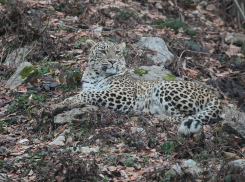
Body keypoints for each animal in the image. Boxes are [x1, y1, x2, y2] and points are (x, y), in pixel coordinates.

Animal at [43, 39, 222, 136]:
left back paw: (160, 117)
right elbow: (87, 93)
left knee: (189, 115)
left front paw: (60, 105)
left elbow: (89, 95)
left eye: (117, 52)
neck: (96, 75)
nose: (113, 61)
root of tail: (214, 94)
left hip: (164, 87)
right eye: (103, 51)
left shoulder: (125, 95)